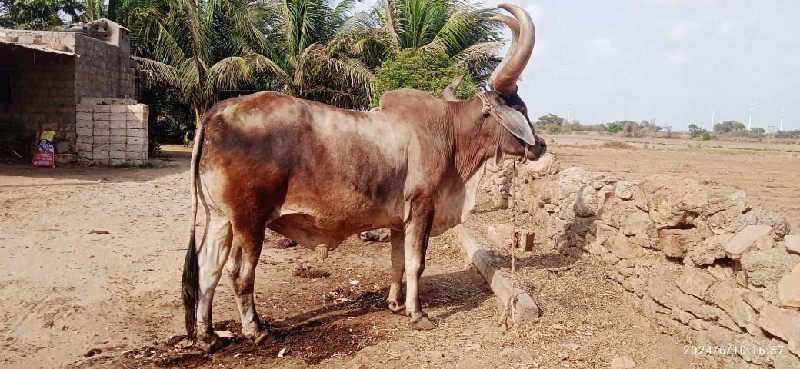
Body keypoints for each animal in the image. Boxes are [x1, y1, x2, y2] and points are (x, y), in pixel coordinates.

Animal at [181, 2, 544, 350]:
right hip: (249, 221)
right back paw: (255, 331)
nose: (540, 145)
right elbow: (416, 263)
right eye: (521, 110)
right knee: (240, 274)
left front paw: (395, 304)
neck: (451, 135)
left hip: (220, 218)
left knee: (208, 270)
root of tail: (217, 111)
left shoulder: (400, 220)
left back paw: (208, 337)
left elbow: (398, 262)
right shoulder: (422, 208)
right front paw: (417, 314)